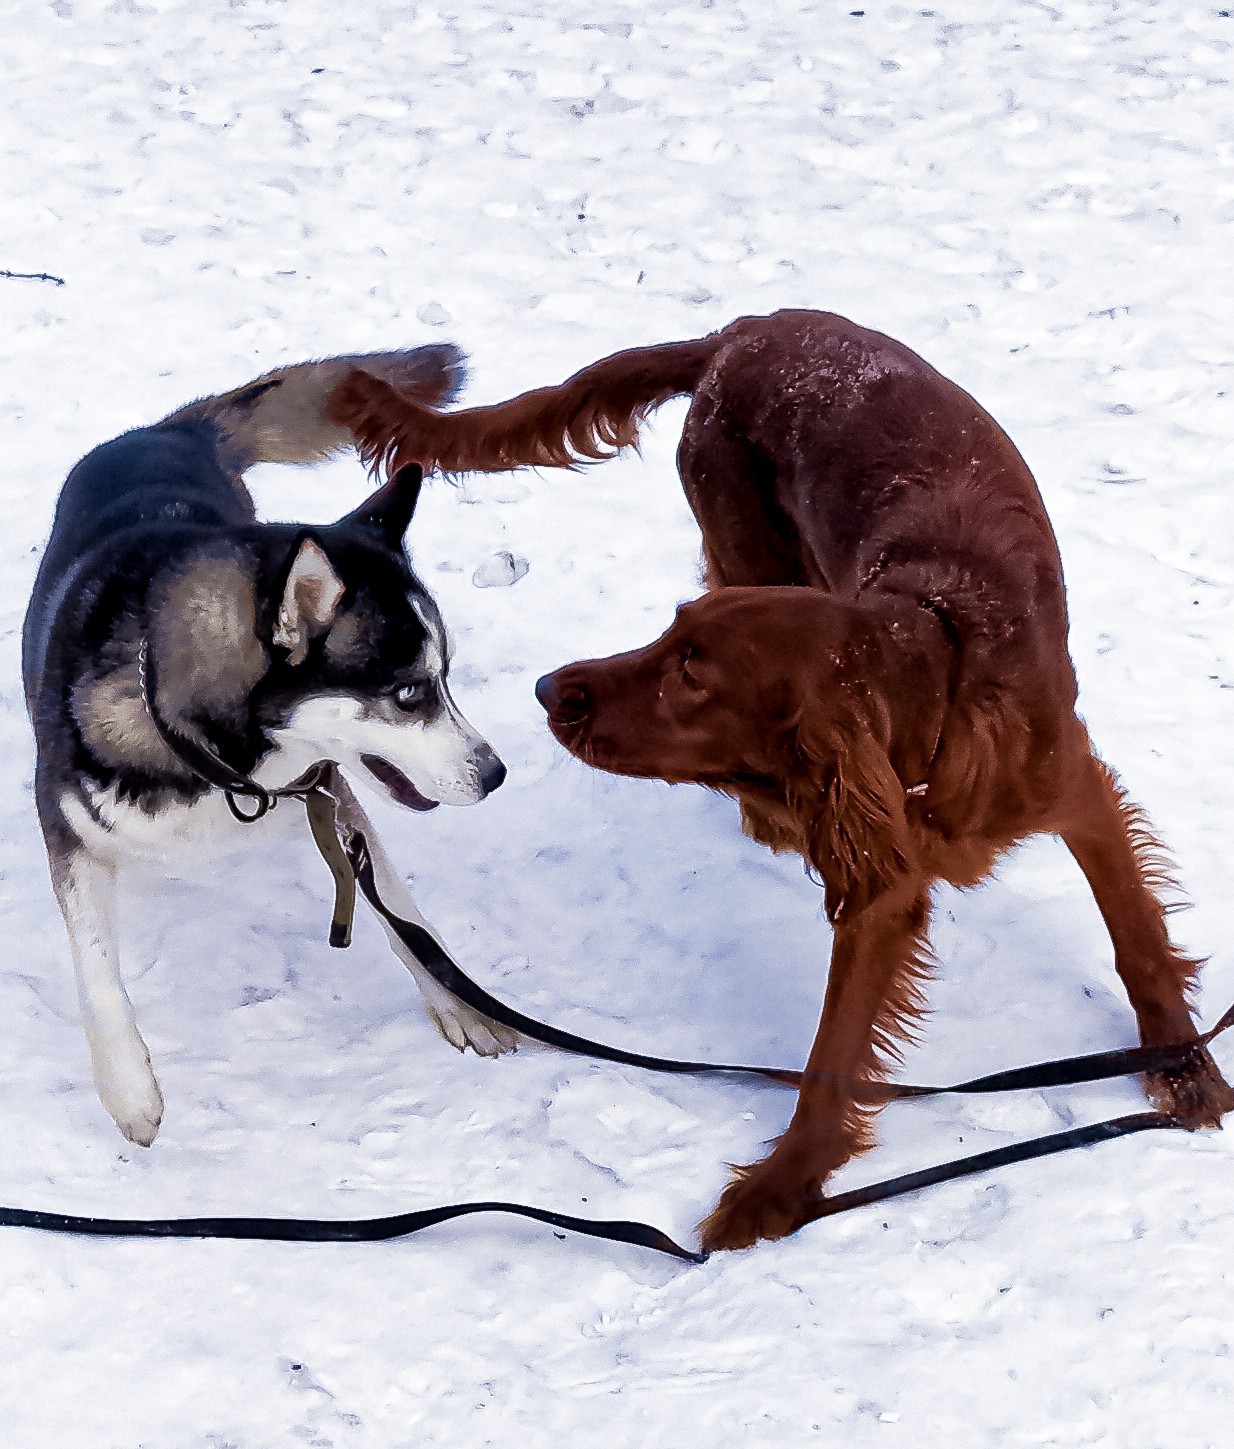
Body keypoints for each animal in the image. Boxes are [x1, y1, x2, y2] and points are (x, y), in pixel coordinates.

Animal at [330, 311, 1234, 1251]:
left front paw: (1184, 1067)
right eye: (671, 636)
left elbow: (1137, 936)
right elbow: (832, 1055)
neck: (936, 693)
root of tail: (746, 329)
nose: (547, 688)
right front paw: (781, 1189)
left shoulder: (1076, 789)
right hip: (744, 536)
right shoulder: (883, 884)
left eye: (693, 669)